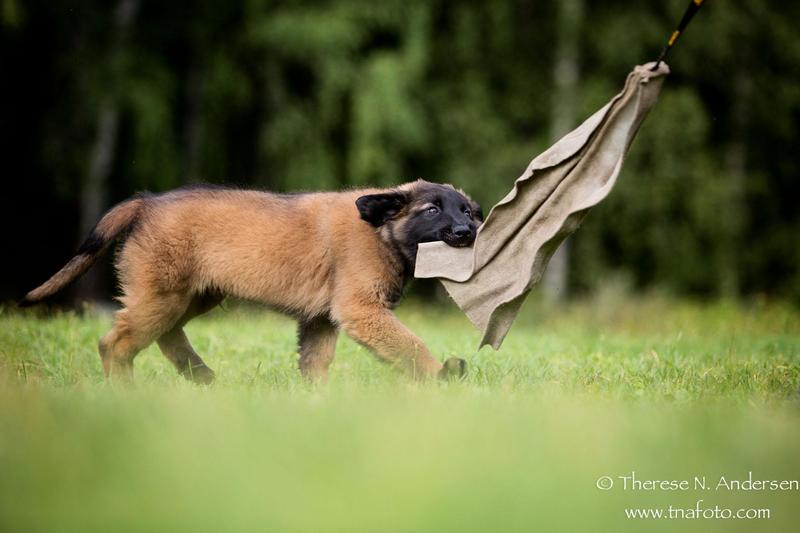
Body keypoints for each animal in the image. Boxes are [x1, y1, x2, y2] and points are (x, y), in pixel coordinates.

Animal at [23, 180, 482, 382]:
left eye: (466, 211)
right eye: (431, 210)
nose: (467, 232)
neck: (381, 231)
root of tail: (146, 203)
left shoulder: (320, 319)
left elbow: (315, 362)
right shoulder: (360, 309)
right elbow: (409, 343)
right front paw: (441, 374)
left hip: (192, 295)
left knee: (164, 334)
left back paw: (201, 376)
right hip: (165, 293)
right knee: (115, 344)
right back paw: (127, 393)